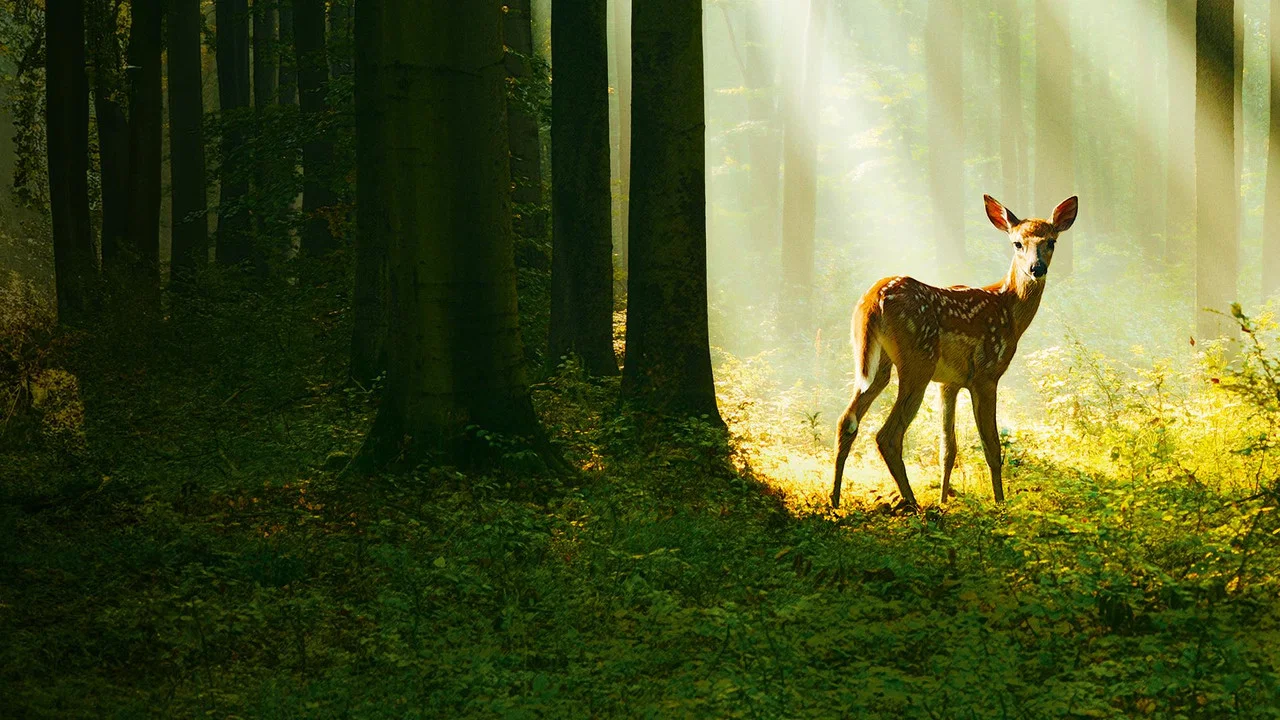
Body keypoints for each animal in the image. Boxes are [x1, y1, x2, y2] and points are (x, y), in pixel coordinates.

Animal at [831, 194, 1078, 510]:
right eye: (1017, 243)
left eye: (1051, 242)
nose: (1037, 269)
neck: (1009, 310)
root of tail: (873, 299)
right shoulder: (986, 375)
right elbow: (991, 445)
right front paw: (999, 504)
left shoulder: (948, 383)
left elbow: (948, 448)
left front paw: (944, 500)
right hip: (917, 361)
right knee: (888, 435)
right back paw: (912, 504)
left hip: (873, 362)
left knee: (846, 421)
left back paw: (835, 499)